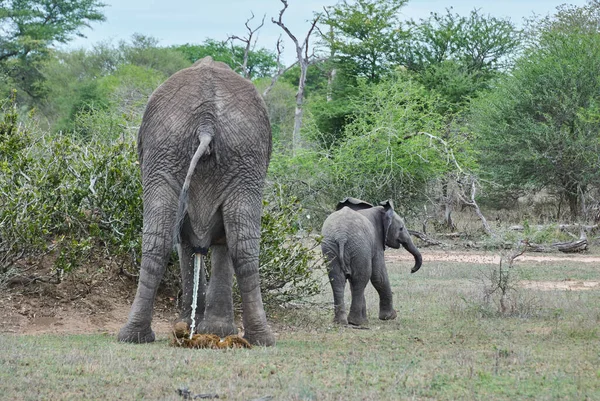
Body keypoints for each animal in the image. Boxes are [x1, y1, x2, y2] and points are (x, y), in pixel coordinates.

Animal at [116, 57, 274, 346]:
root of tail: (206, 123)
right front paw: (211, 329)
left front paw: (211, 329)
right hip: (229, 154)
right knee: (242, 245)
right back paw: (261, 339)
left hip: (184, 152)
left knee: (160, 239)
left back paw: (133, 336)